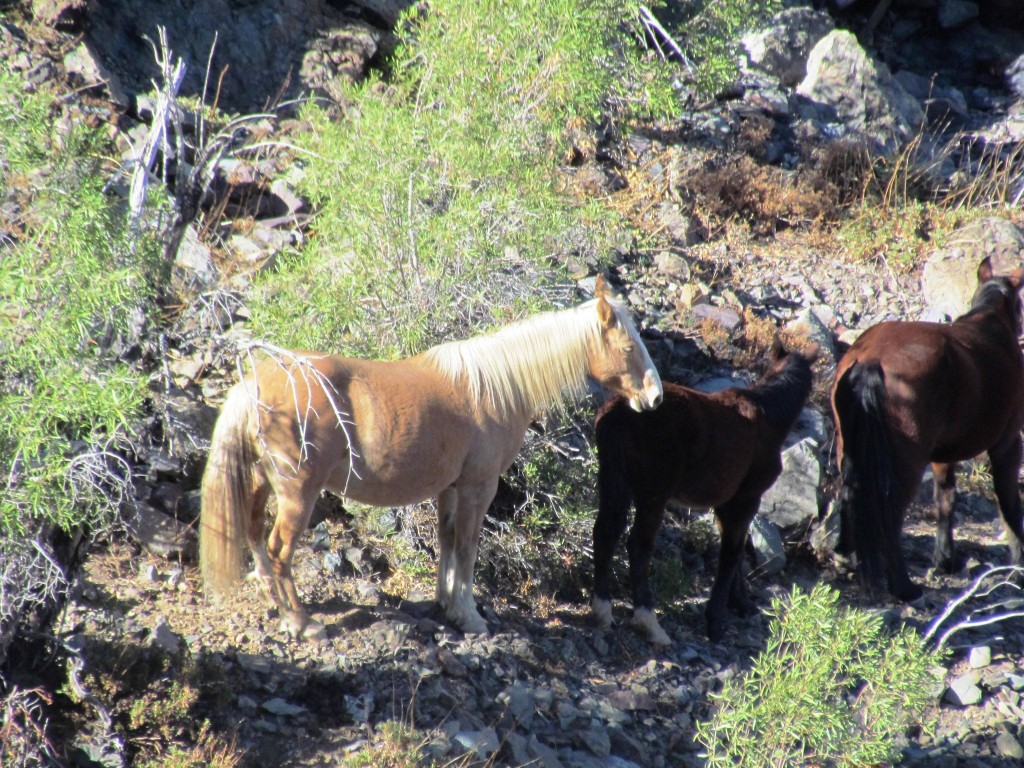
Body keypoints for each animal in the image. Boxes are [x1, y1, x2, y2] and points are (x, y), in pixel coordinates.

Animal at [200, 274, 663, 638]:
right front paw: (469, 615)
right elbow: (468, 547)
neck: (493, 387)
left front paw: (446, 604)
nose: (655, 397)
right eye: (628, 347)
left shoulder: (450, 488)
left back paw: (274, 602)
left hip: (262, 484)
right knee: (279, 550)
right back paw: (300, 621)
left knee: (255, 535)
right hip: (298, 494)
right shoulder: (479, 486)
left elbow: (448, 540)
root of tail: (253, 385)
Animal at [593, 339, 815, 647]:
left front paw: (740, 602)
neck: (768, 417)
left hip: (614, 482)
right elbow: (731, 553)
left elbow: (738, 548)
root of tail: (616, 412)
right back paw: (648, 621)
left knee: (605, 532)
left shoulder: (725, 504)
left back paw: (603, 609)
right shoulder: (745, 499)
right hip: (653, 493)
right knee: (638, 545)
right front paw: (716, 621)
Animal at [831, 259, 1024, 606]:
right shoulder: (1007, 442)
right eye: (1019, 304)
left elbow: (945, 499)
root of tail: (870, 358)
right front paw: (1018, 563)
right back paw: (904, 587)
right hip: (907, 461)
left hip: (848, 446)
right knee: (891, 516)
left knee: (848, 493)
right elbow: (1008, 501)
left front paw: (944, 558)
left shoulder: (943, 455)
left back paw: (845, 555)